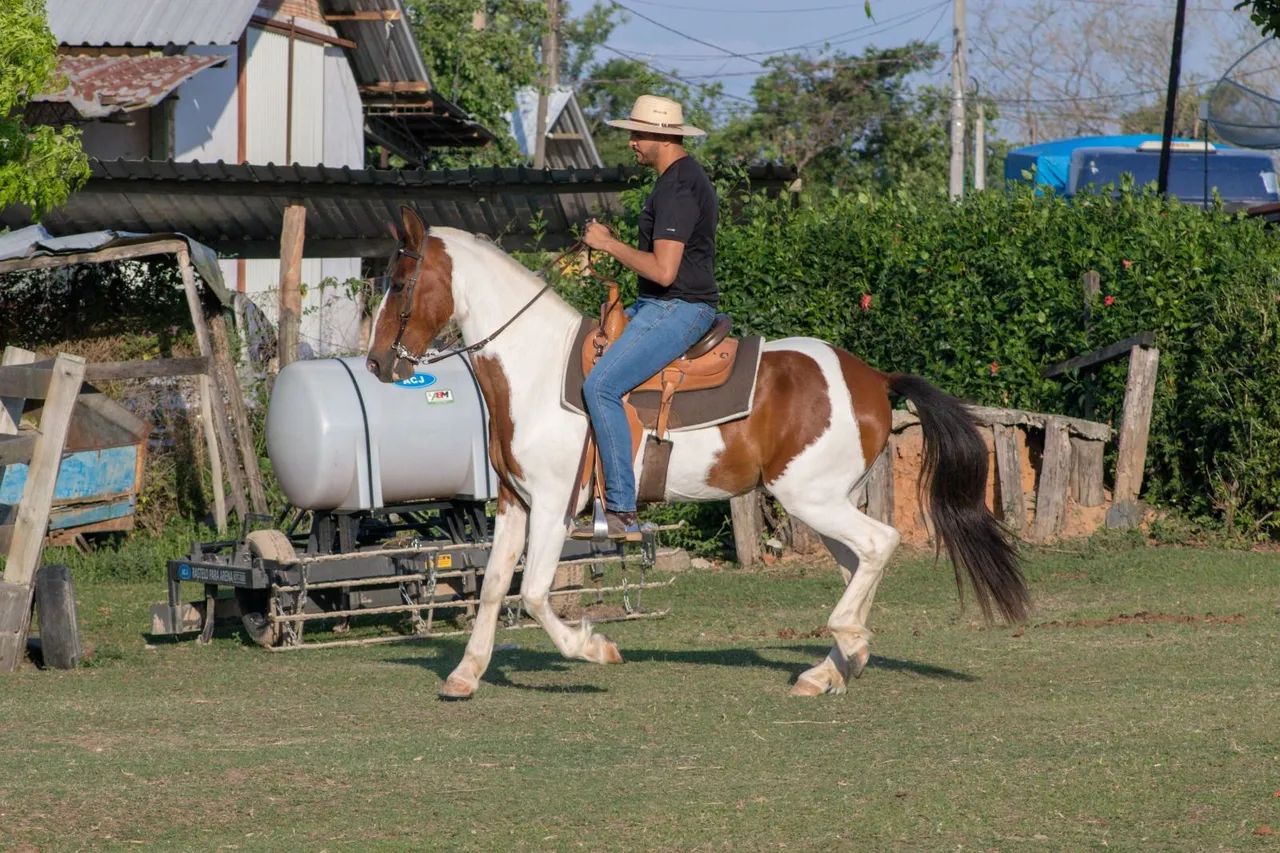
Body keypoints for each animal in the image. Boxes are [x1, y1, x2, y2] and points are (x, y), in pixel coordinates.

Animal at [365, 207, 1030, 699]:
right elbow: (495, 585)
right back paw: (831, 667)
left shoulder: (555, 504)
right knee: (857, 561)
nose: (374, 364)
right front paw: (465, 675)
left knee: (879, 544)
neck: (536, 368)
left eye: (398, 283)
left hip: (808, 496)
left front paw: (594, 648)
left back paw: (848, 644)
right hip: (825, 500)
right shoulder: (514, 502)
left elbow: (532, 593)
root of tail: (873, 377)